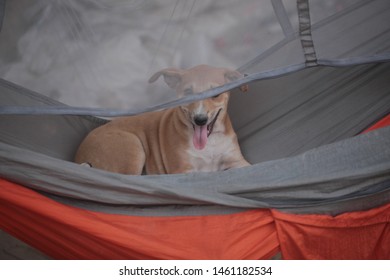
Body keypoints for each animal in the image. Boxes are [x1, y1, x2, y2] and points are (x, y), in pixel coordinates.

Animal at [74, 66, 250, 175]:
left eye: (216, 94)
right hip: (132, 147)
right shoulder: (182, 170)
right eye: (187, 92)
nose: (200, 120)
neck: (210, 143)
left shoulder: (238, 161)